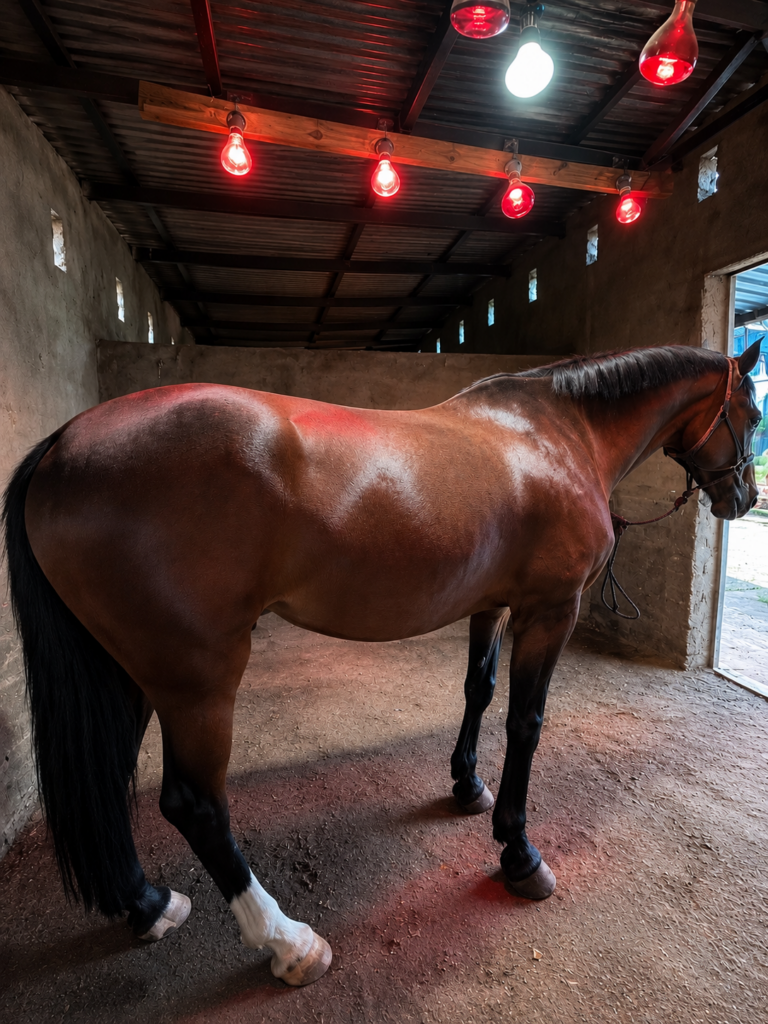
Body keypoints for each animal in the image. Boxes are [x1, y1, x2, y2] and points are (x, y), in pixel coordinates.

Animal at [2, 342, 760, 987]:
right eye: (752, 414)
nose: (744, 498)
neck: (555, 432)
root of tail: (62, 446)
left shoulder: (494, 604)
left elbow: (478, 690)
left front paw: (467, 785)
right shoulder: (551, 610)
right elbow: (525, 722)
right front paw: (519, 854)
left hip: (130, 674)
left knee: (108, 779)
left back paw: (147, 902)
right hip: (196, 679)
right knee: (193, 803)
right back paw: (288, 943)